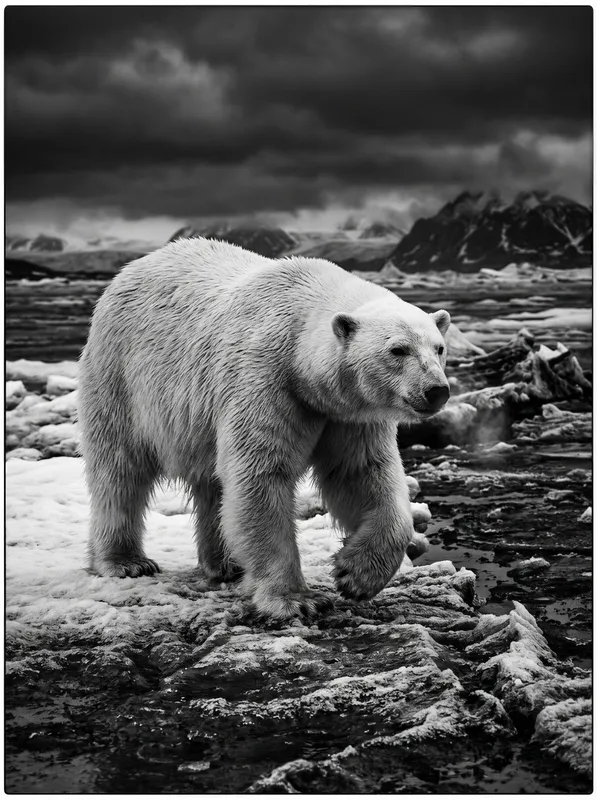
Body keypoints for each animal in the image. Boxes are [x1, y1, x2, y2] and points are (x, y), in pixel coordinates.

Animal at [78, 238, 451, 621]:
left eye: (439, 347)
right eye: (398, 349)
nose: (436, 390)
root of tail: (131, 269)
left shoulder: (348, 415)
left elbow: (360, 473)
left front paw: (356, 574)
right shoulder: (265, 377)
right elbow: (261, 475)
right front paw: (297, 599)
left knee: (211, 483)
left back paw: (226, 564)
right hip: (122, 376)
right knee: (120, 468)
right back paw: (125, 561)